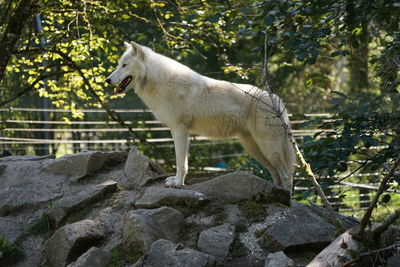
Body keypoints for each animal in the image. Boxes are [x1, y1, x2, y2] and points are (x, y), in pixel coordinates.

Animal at [106, 41, 296, 193]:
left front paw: (177, 183)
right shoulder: (175, 130)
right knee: (276, 173)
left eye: (124, 65)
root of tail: (277, 100)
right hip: (255, 149)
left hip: (268, 147)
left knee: (287, 175)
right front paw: (176, 181)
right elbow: (181, 160)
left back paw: (286, 200)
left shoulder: (181, 129)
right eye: (119, 64)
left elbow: (181, 162)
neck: (159, 80)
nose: (107, 80)